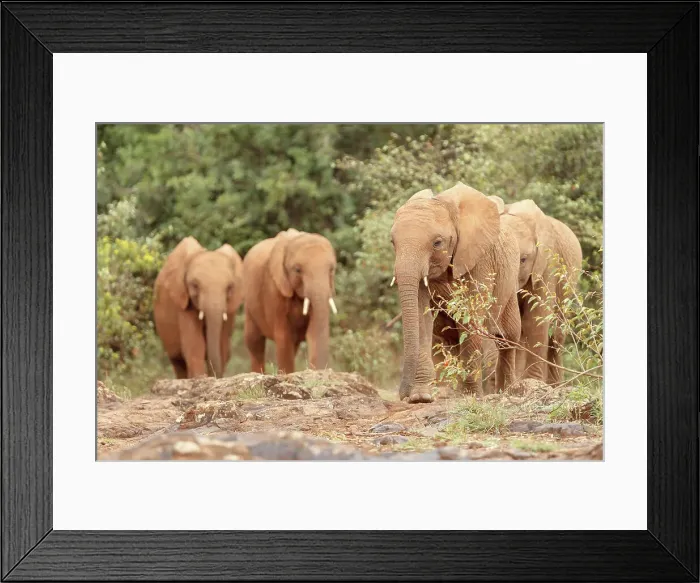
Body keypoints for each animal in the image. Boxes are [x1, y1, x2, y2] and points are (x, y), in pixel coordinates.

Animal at [153, 236, 244, 379]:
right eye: (194, 285)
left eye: (229, 287)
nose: (215, 376)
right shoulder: (183, 301)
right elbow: (194, 345)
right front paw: (200, 378)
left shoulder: (230, 308)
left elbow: (223, 344)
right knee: (178, 361)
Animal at [243, 228, 338, 374]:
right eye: (297, 270)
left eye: (332, 269)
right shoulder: (274, 289)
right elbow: (284, 337)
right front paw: (286, 374)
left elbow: (314, 331)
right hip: (249, 303)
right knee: (254, 342)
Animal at [390, 182, 522, 403]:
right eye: (393, 243)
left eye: (437, 243)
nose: (403, 395)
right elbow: (422, 316)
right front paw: (421, 397)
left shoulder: (480, 259)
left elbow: (471, 313)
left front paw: (471, 396)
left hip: (510, 282)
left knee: (508, 336)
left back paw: (508, 391)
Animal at [492, 199, 583, 386]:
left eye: (523, 259)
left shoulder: (547, 265)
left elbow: (535, 320)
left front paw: (533, 383)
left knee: (556, 335)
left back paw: (554, 385)